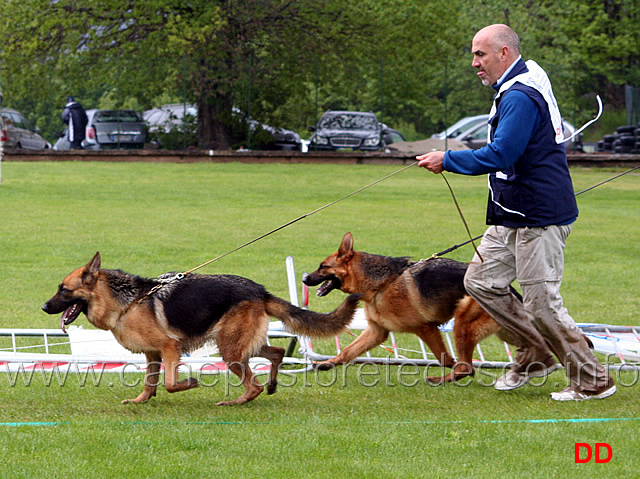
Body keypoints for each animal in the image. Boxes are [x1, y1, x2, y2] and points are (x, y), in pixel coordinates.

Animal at [41, 253, 360, 406]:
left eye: (63, 290)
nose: (44, 307)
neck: (129, 302)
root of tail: (260, 290)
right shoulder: (152, 355)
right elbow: (150, 382)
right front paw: (141, 401)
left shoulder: (169, 349)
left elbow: (170, 383)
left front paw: (190, 383)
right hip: (241, 345)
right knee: (278, 352)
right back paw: (270, 385)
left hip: (230, 350)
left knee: (253, 384)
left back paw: (235, 402)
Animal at [302, 232, 512, 382]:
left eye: (323, 266)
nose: (304, 279)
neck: (381, 283)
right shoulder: (376, 331)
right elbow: (347, 351)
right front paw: (327, 364)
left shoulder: (426, 329)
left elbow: (445, 359)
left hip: (462, 325)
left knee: (465, 366)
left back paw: (439, 379)